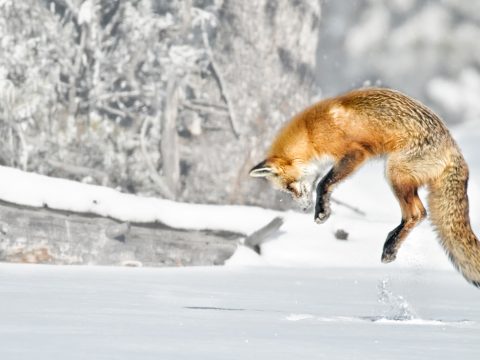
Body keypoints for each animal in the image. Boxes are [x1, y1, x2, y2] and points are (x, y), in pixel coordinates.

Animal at [249, 87, 478, 286]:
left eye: (290, 187)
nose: (304, 208)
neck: (311, 133)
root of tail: (454, 149)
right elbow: (325, 184)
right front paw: (323, 209)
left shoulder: (355, 153)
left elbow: (323, 183)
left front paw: (321, 212)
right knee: (419, 213)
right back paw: (390, 242)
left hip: (394, 172)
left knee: (416, 214)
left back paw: (390, 248)